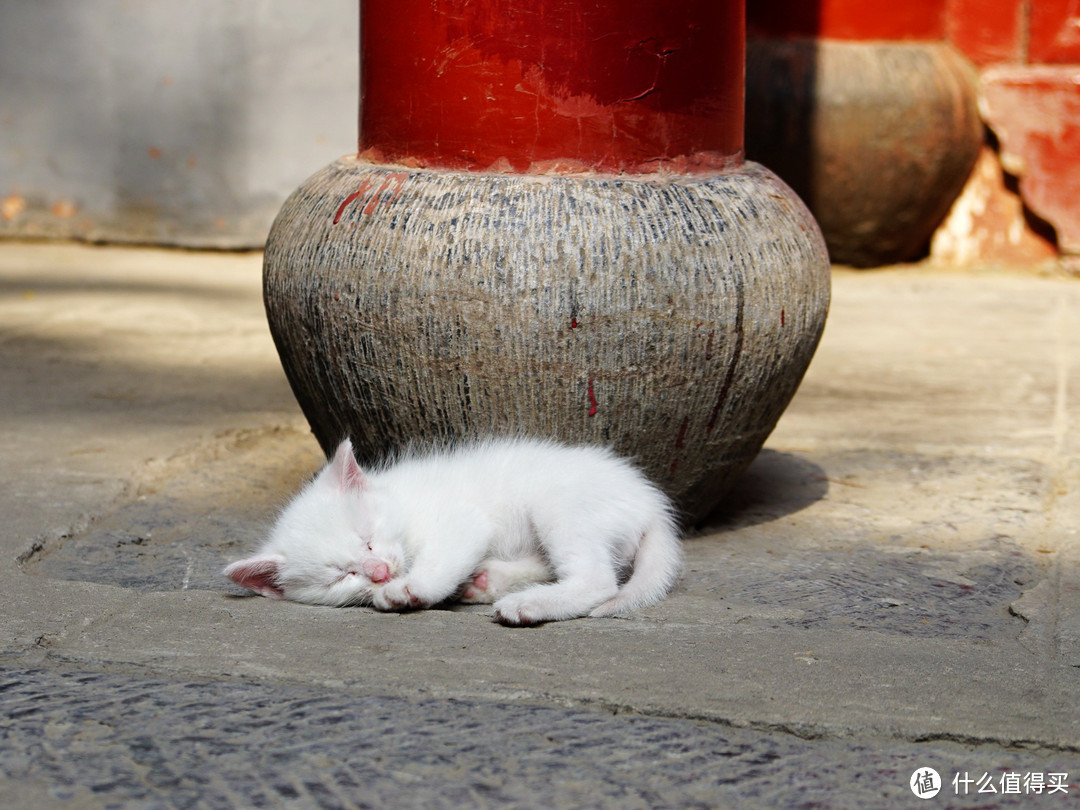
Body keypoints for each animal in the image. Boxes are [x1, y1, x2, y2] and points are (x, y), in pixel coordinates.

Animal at [225, 440, 682, 626]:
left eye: (367, 537)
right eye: (342, 576)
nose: (378, 572)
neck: (400, 500)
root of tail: (651, 504)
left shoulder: (462, 519)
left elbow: (442, 558)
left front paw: (409, 590)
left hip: (559, 503)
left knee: (597, 580)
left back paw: (527, 605)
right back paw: (486, 582)